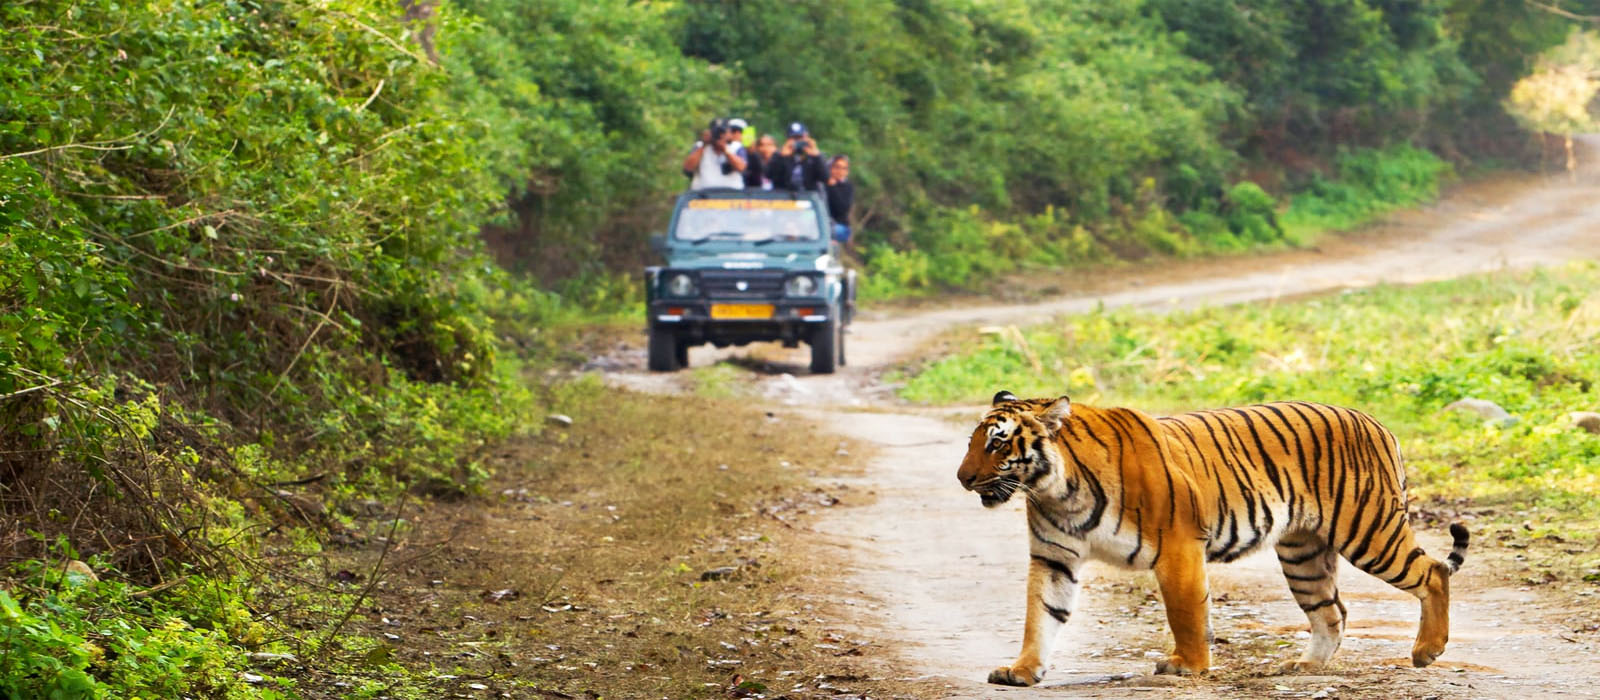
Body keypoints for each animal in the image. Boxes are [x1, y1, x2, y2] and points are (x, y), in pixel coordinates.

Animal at [953, 391, 1465, 687]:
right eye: (973, 441)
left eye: (998, 443)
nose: (962, 478)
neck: (1056, 490)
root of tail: (1377, 422)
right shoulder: (1054, 557)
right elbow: (1040, 616)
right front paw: (1021, 671)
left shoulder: (1178, 545)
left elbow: (1186, 612)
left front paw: (1188, 666)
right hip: (1302, 553)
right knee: (1332, 610)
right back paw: (1305, 666)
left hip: (1369, 530)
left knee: (1433, 572)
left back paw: (1427, 651)